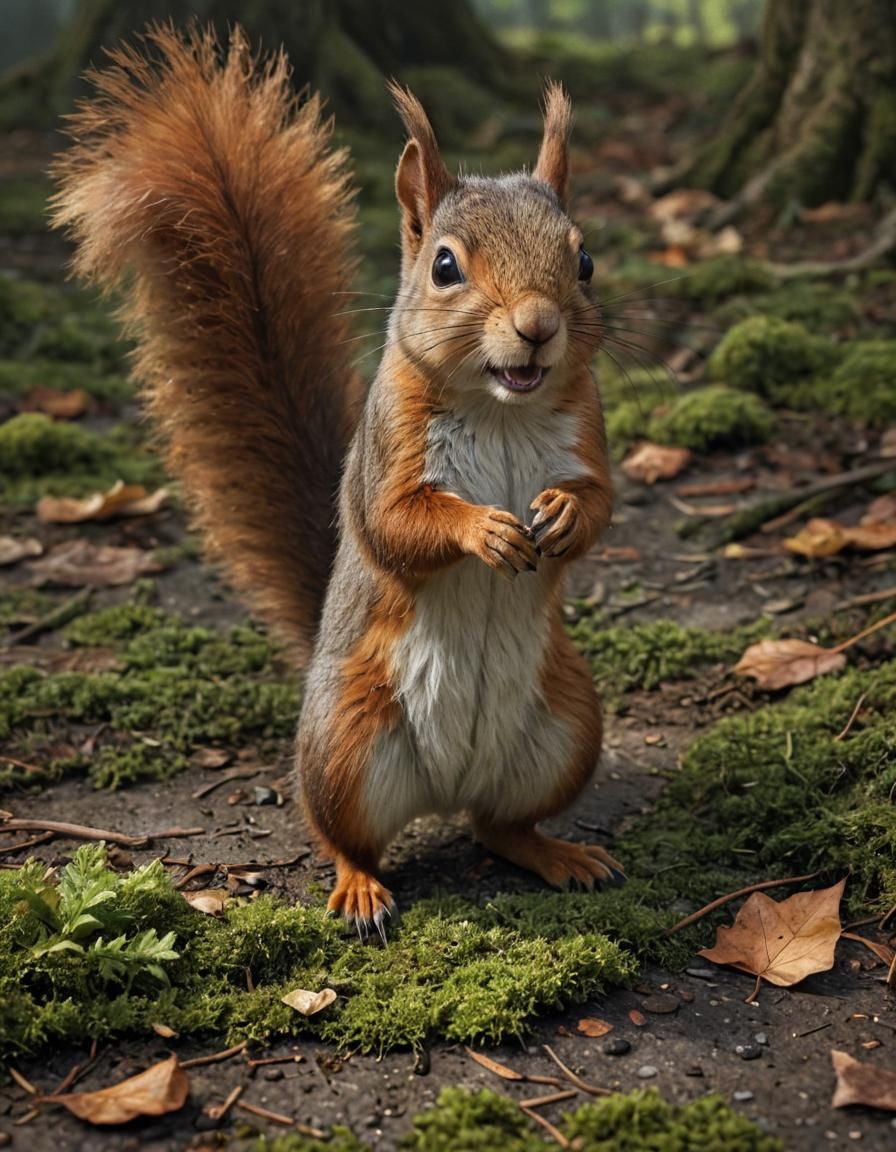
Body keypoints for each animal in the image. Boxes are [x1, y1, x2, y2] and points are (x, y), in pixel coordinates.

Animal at [52, 24, 623, 935]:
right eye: (445, 267)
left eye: (588, 261)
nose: (539, 327)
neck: (500, 407)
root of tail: (445, 787)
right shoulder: (387, 449)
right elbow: (396, 523)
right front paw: (483, 528)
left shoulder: (587, 428)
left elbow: (603, 500)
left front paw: (564, 516)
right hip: (346, 744)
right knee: (343, 833)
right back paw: (359, 887)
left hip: (568, 723)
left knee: (500, 826)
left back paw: (555, 852)